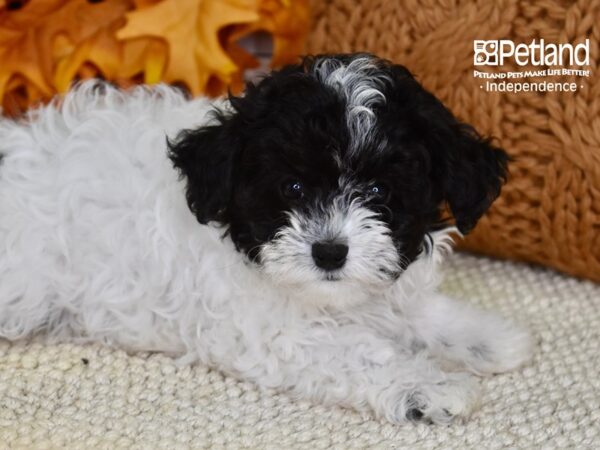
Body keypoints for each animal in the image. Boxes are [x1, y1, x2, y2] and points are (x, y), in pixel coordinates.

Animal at [0, 53, 536, 426]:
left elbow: (417, 312)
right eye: (293, 188)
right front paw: (428, 386)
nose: (329, 252)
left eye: (379, 191)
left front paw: (488, 338)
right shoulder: (274, 333)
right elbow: (362, 352)